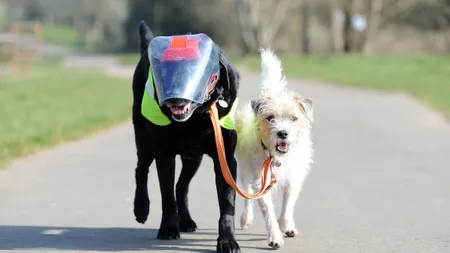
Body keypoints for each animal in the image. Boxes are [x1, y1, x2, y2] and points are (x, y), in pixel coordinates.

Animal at [132, 20, 241, 253]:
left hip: (194, 158)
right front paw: (168, 229)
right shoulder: (164, 155)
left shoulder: (226, 160)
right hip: (144, 141)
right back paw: (141, 208)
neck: (197, 117)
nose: (174, 99)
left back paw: (187, 221)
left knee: (181, 186)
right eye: (165, 73)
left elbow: (227, 207)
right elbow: (166, 197)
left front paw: (227, 241)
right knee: (141, 170)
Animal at [236, 49, 312, 249]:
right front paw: (275, 236)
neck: (277, 157)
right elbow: (267, 210)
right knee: (247, 196)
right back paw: (246, 218)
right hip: (245, 171)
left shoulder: (293, 178)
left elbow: (288, 206)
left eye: (293, 118)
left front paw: (285, 226)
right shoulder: (260, 180)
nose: (282, 133)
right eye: (270, 118)